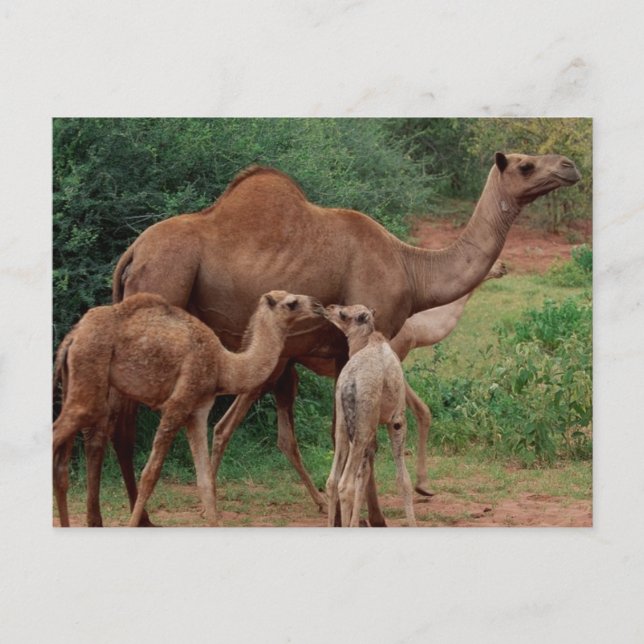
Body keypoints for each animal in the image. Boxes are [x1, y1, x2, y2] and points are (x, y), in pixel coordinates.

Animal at [52, 290, 324, 527]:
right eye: (291, 303)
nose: (318, 305)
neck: (224, 365)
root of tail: (72, 337)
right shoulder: (178, 404)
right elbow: (150, 474)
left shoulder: (198, 411)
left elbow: (205, 480)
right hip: (89, 379)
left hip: (73, 381)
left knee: (63, 463)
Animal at [324, 304, 416, 527]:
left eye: (343, 314)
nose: (329, 308)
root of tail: (350, 383)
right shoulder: (397, 420)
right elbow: (403, 479)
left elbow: (364, 475)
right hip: (364, 426)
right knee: (345, 483)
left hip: (344, 422)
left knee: (332, 481)